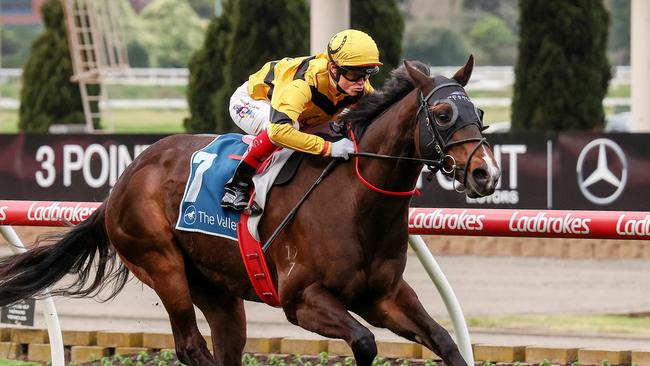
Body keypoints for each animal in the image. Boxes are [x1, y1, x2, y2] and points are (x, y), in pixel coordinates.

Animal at [0, 58, 498, 364]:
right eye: (442, 113)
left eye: (478, 112)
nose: (485, 173)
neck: (358, 202)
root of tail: (125, 179)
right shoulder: (301, 299)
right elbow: (363, 342)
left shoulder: (383, 296)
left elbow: (446, 342)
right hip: (163, 266)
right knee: (191, 346)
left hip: (217, 287)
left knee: (225, 345)